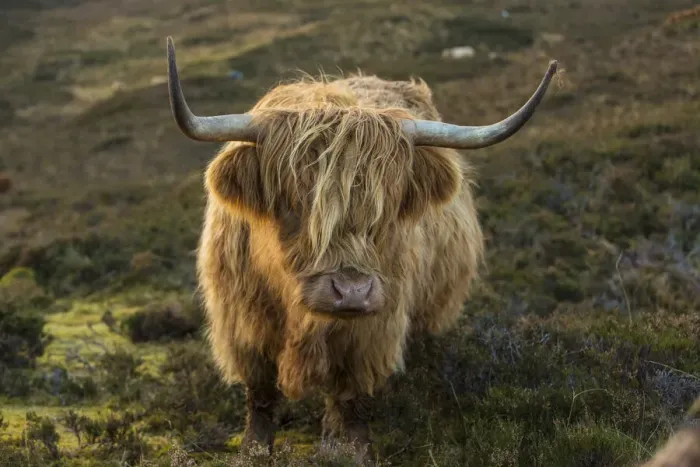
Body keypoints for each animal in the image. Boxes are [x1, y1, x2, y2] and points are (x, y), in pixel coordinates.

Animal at [165, 36, 558, 463]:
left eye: (384, 210)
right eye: (293, 205)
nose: (351, 292)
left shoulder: (373, 328)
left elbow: (353, 399)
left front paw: (353, 451)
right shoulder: (243, 323)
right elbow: (261, 397)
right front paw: (252, 452)